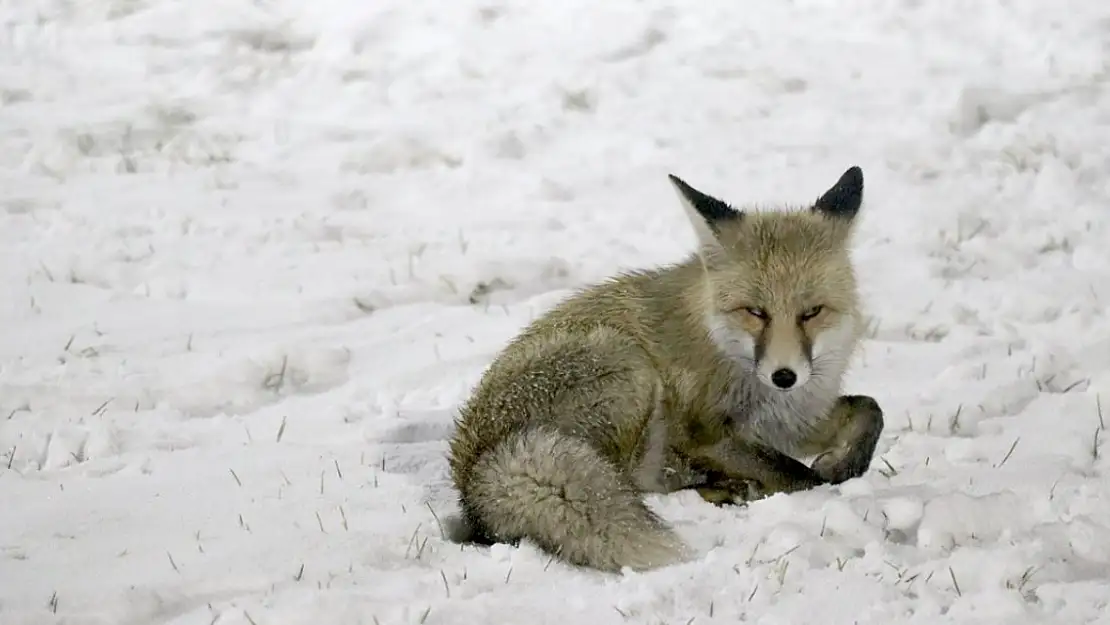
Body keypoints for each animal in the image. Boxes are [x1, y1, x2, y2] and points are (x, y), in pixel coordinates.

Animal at [441, 165, 883, 572]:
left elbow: (869, 409)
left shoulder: (793, 421)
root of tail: (473, 477)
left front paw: (844, 460)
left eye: (812, 313)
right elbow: (799, 475)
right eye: (755, 312)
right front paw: (821, 478)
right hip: (630, 368)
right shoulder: (704, 435)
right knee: (635, 483)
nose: (784, 376)